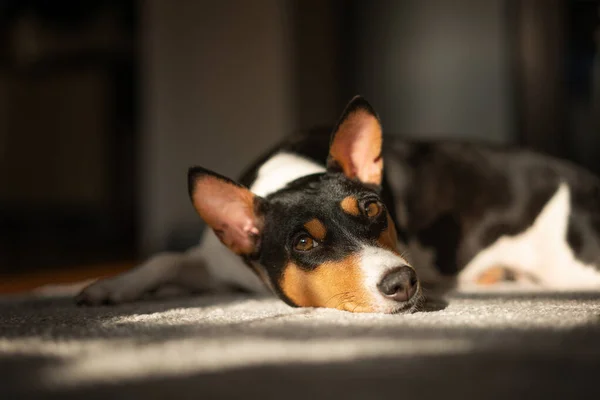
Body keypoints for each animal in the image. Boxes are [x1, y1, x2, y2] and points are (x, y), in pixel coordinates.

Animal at [76, 96, 600, 312]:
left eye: (372, 209)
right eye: (304, 243)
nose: (402, 282)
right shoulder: (220, 261)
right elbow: (164, 258)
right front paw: (110, 288)